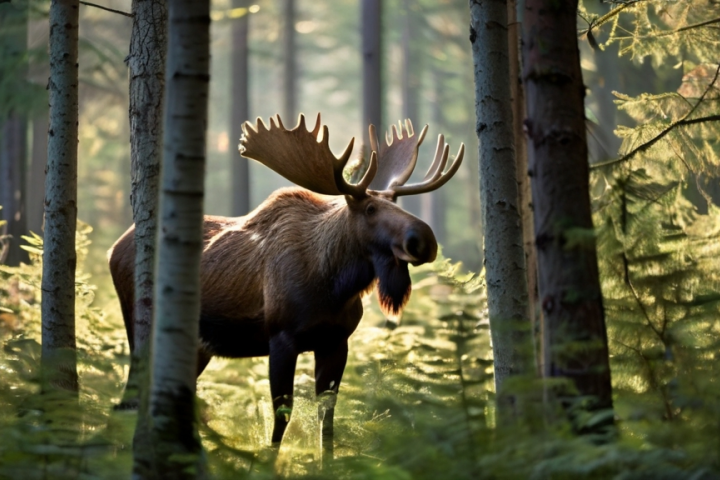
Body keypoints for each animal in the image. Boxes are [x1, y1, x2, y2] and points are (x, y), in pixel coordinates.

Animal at [108, 113, 464, 449]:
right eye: (371, 208)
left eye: (396, 203)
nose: (423, 240)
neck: (334, 287)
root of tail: (114, 248)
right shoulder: (281, 338)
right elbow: (282, 416)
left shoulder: (336, 341)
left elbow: (327, 417)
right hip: (139, 324)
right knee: (130, 394)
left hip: (198, 346)